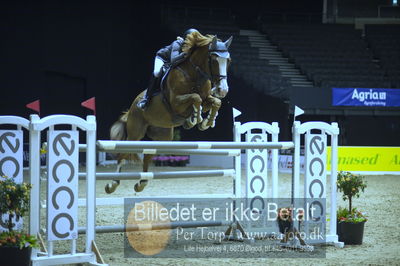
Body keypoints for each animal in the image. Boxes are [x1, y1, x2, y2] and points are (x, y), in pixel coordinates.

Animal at [104, 31, 233, 193]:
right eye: (214, 60)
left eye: (228, 61)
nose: (223, 90)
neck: (195, 74)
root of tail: (133, 107)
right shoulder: (176, 103)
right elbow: (195, 98)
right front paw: (195, 119)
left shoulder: (206, 99)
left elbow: (215, 102)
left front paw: (206, 122)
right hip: (135, 133)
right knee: (122, 154)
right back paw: (112, 184)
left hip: (162, 135)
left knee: (148, 155)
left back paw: (141, 183)